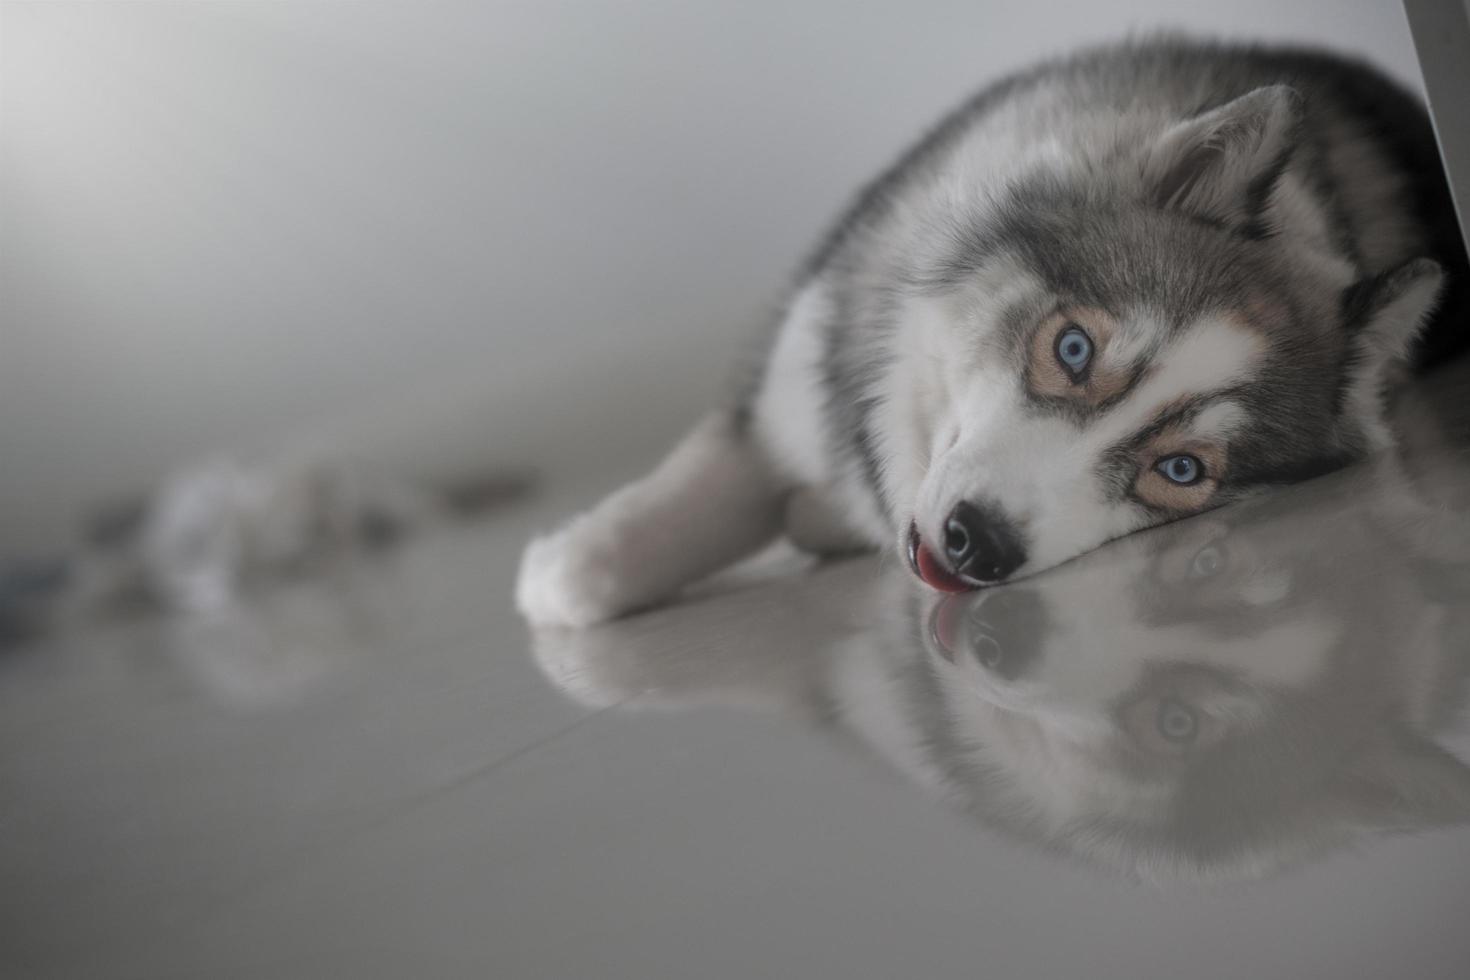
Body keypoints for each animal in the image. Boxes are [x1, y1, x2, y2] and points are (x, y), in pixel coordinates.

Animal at [514, 36, 1458, 628]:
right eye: (1073, 349)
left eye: (1181, 471)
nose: (980, 543)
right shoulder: (799, 373)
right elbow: (682, 504)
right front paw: (561, 575)